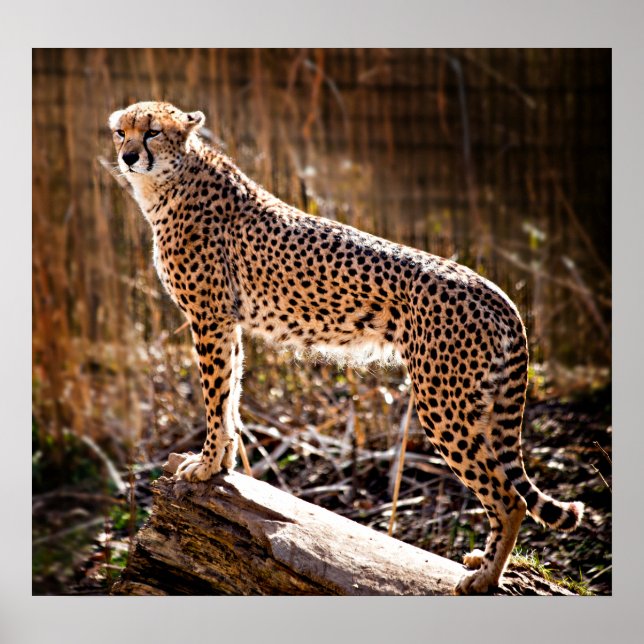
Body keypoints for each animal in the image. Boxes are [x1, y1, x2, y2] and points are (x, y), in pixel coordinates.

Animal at [109, 101, 584, 595]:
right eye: (121, 132)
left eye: (153, 132)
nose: (128, 156)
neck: (172, 178)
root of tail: (495, 291)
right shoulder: (226, 324)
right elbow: (230, 396)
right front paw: (220, 463)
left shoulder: (209, 318)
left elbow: (215, 398)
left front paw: (205, 466)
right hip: (480, 403)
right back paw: (483, 562)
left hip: (442, 403)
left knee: (511, 499)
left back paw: (487, 578)